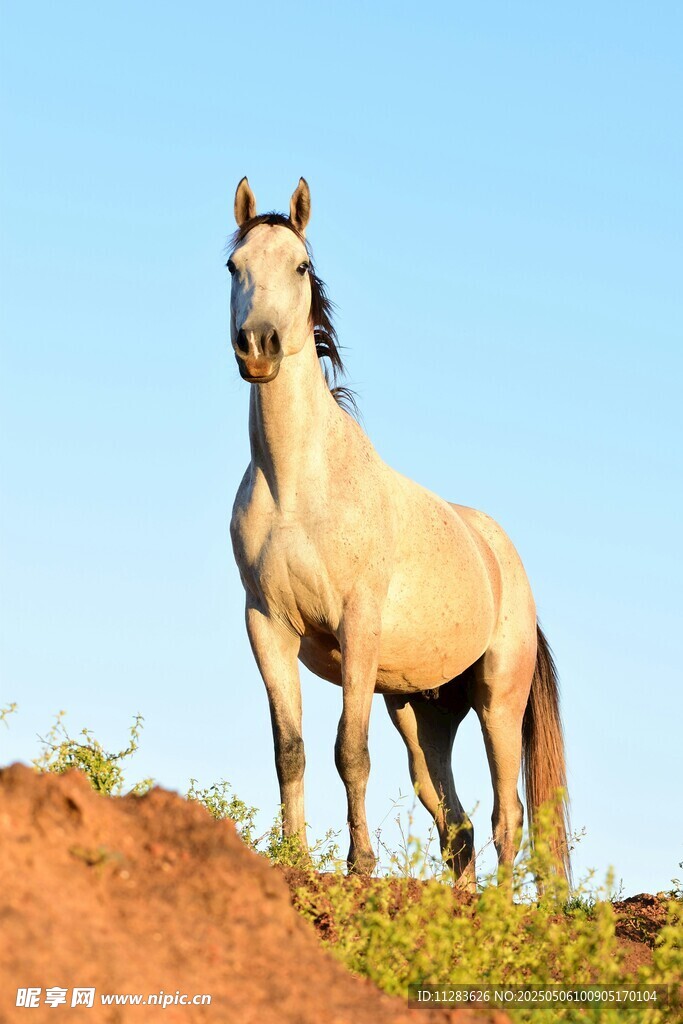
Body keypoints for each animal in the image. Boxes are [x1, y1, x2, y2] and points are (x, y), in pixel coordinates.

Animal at [228, 177, 570, 887]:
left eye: (300, 267)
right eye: (232, 266)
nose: (258, 346)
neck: (297, 486)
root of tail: (506, 563)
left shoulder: (356, 624)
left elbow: (349, 751)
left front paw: (360, 865)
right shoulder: (267, 625)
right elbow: (291, 751)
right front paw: (295, 857)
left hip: (498, 699)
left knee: (507, 813)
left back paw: (497, 905)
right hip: (422, 712)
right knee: (454, 821)